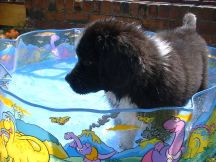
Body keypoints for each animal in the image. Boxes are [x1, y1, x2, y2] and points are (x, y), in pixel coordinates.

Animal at [65, 13, 208, 149]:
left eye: (88, 61)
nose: (67, 79)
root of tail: (188, 28)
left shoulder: (161, 118)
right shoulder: (124, 115)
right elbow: (126, 139)